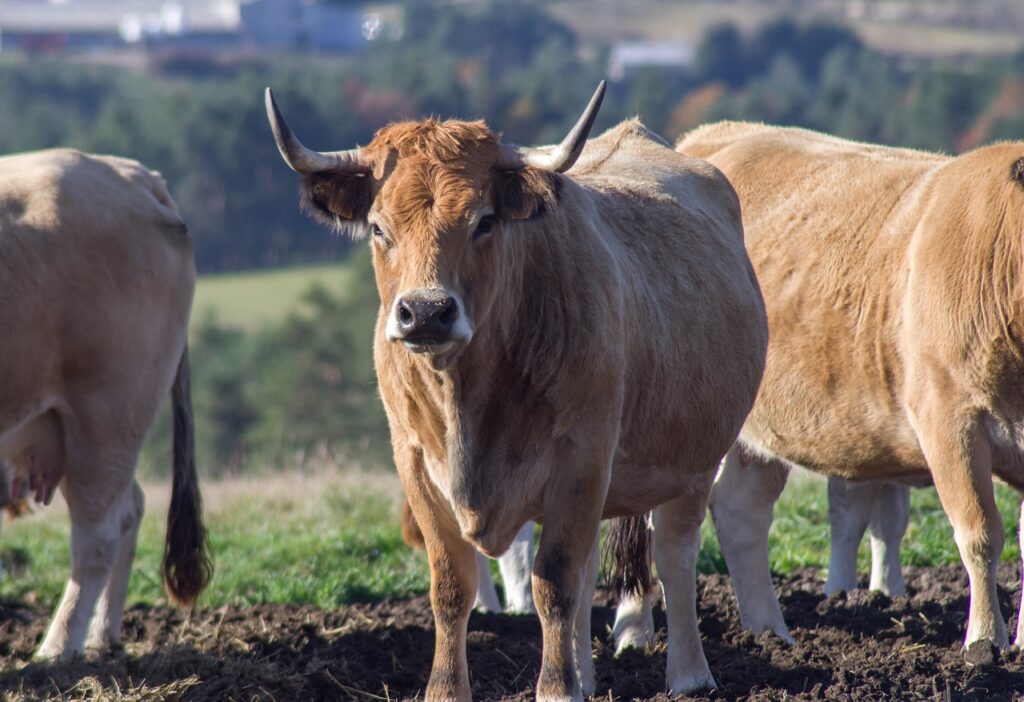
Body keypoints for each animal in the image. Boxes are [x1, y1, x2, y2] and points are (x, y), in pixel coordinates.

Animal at [0, 148, 210, 659]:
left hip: (106, 412)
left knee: (100, 534)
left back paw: (56, 650)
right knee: (129, 507)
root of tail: (130, 172)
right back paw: (101, 638)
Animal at [266, 85, 770, 699]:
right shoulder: (415, 464)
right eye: (379, 228)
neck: (468, 401)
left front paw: (555, 687)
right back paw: (587, 677)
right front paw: (449, 689)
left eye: (483, 222)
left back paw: (689, 675)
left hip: (692, 460)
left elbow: (553, 583)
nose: (426, 313)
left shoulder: (582, 459)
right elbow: (453, 586)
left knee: (674, 555)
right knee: (590, 578)